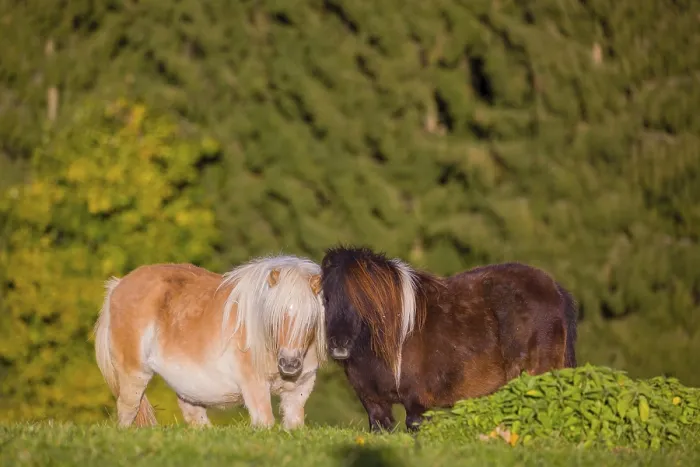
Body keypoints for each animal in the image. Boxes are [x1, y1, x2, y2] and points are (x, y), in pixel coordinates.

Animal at [93, 255, 326, 430]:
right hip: (134, 374)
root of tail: (118, 285)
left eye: (311, 319)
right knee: (127, 411)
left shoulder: (299, 391)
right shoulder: (255, 386)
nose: (289, 364)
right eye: (274, 317)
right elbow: (265, 422)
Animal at [320, 245, 578, 433]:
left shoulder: (418, 403)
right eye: (326, 298)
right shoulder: (373, 403)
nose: (339, 344)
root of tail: (556, 290)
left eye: (362, 300)